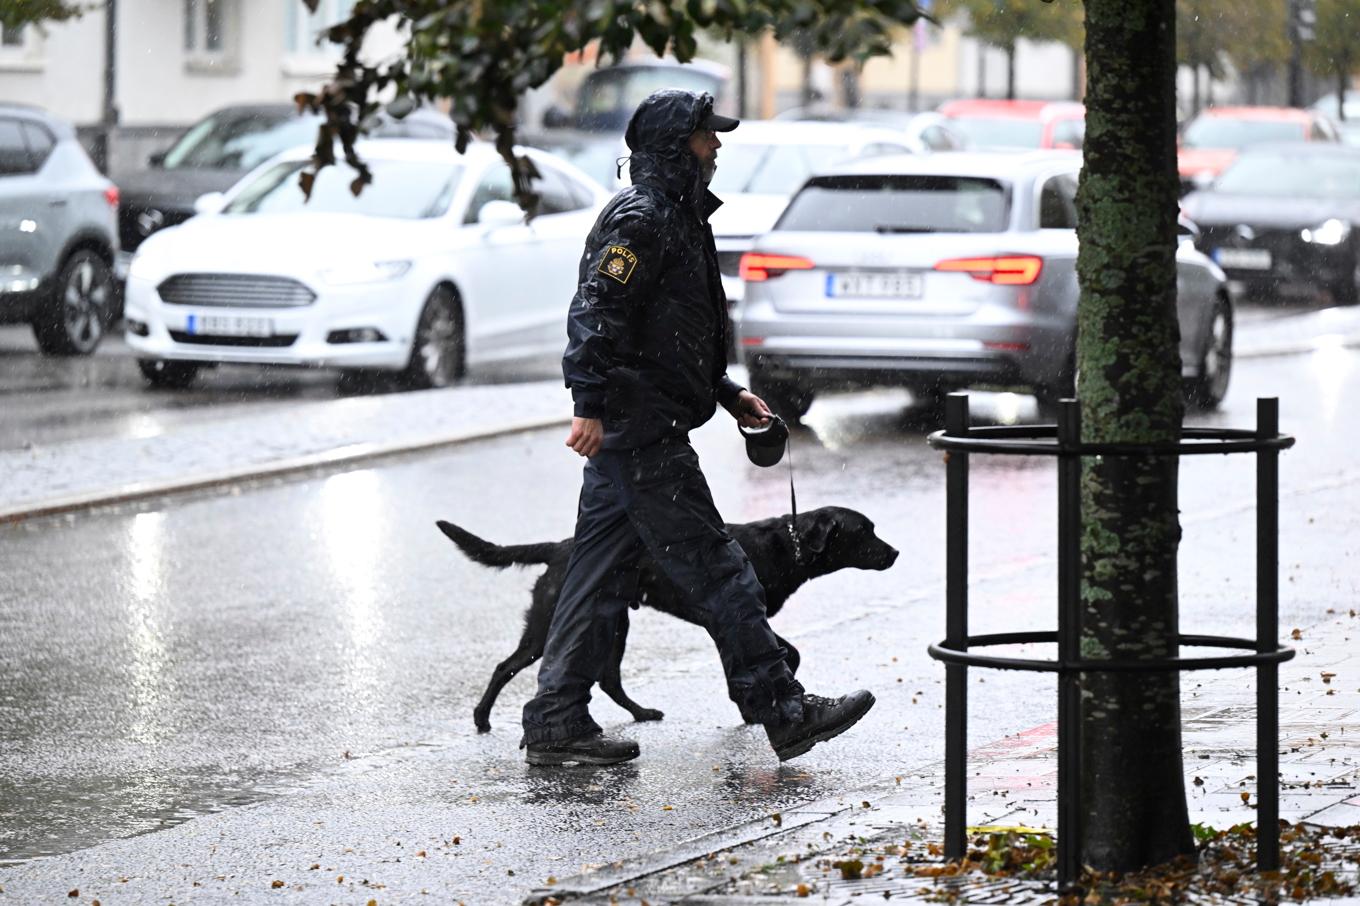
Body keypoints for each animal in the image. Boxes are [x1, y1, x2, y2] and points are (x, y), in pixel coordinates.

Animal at [437, 503, 903, 729]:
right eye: (865, 531)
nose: (896, 552)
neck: (786, 545)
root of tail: (557, 547)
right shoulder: (730, 616)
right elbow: (784, 653)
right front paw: (754, 707)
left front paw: (749, 708)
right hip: (549, 625)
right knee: (506, 666)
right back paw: (481, 719)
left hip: (615, 625)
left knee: (608, 679)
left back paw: (641, 713)